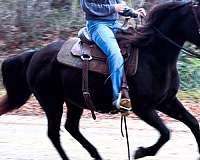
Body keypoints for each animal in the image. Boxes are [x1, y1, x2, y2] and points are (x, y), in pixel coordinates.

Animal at [0, 0, 200, 159]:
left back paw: (96, 154)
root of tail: (35, 54)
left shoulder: (167, 101)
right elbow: (166, 133)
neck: (152, 55)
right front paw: (140, 152)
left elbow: (192, 123)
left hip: (74, 101)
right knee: (54, 134)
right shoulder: (143, 108)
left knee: (71, 127)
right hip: (51, 102)